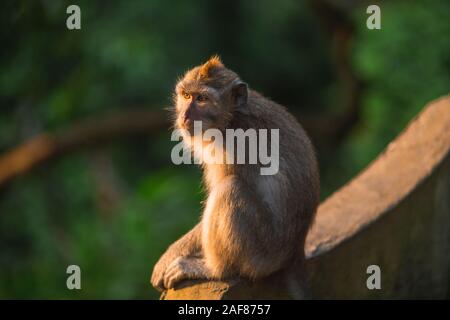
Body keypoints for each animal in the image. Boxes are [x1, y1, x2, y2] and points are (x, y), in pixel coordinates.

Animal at [151, 56, 320, 298]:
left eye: (202, 99)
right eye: (186, 95)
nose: (184, 116)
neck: (232, 118)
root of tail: (294, 254)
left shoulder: (232, 148)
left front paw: (170, 255)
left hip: (262, 252)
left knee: (230, 188)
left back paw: (214, 269)